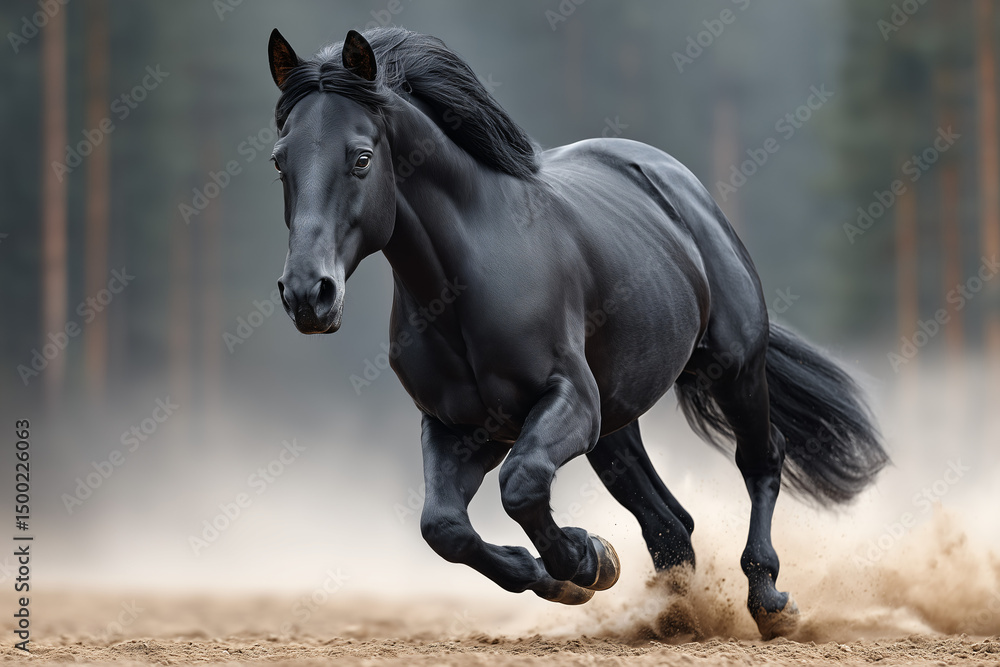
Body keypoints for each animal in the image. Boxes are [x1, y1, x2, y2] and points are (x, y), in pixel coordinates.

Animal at [265, 26, 888, 639]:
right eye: (278, 161)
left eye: (362, 158)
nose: (307, 294)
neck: (464, 285)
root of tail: (677, 183)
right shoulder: (460, 426)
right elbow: (443, 526)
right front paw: (561, 573)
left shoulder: (568, 401)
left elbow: (521, 484)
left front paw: (589, 559)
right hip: (616, 426)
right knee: (669, 520)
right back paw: (677, 617)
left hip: (733, 367)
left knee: (760, 459)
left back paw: (770, 602)